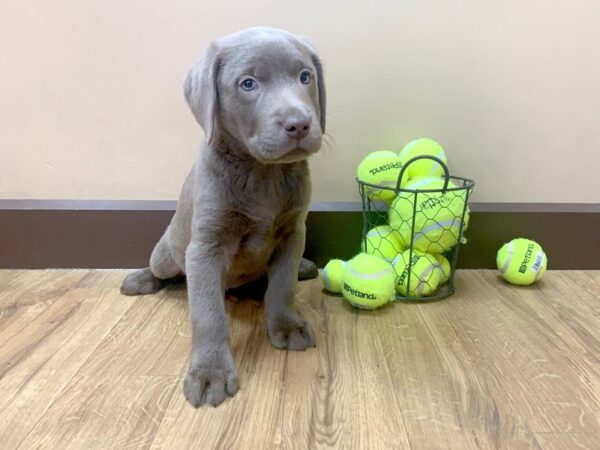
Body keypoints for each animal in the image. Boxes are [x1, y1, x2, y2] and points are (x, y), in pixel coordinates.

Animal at [120, 28, 326, 408]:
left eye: (305, 77)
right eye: (248, 84)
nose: (300, 124)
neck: (262, 173)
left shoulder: (293, 232)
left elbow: (282, 286)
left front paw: (287, 325)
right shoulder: (206, 247)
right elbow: (208, 313)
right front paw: (210, 372)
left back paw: (304, 266)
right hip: (168, 253)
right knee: (166, 271)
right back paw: (142, 279)